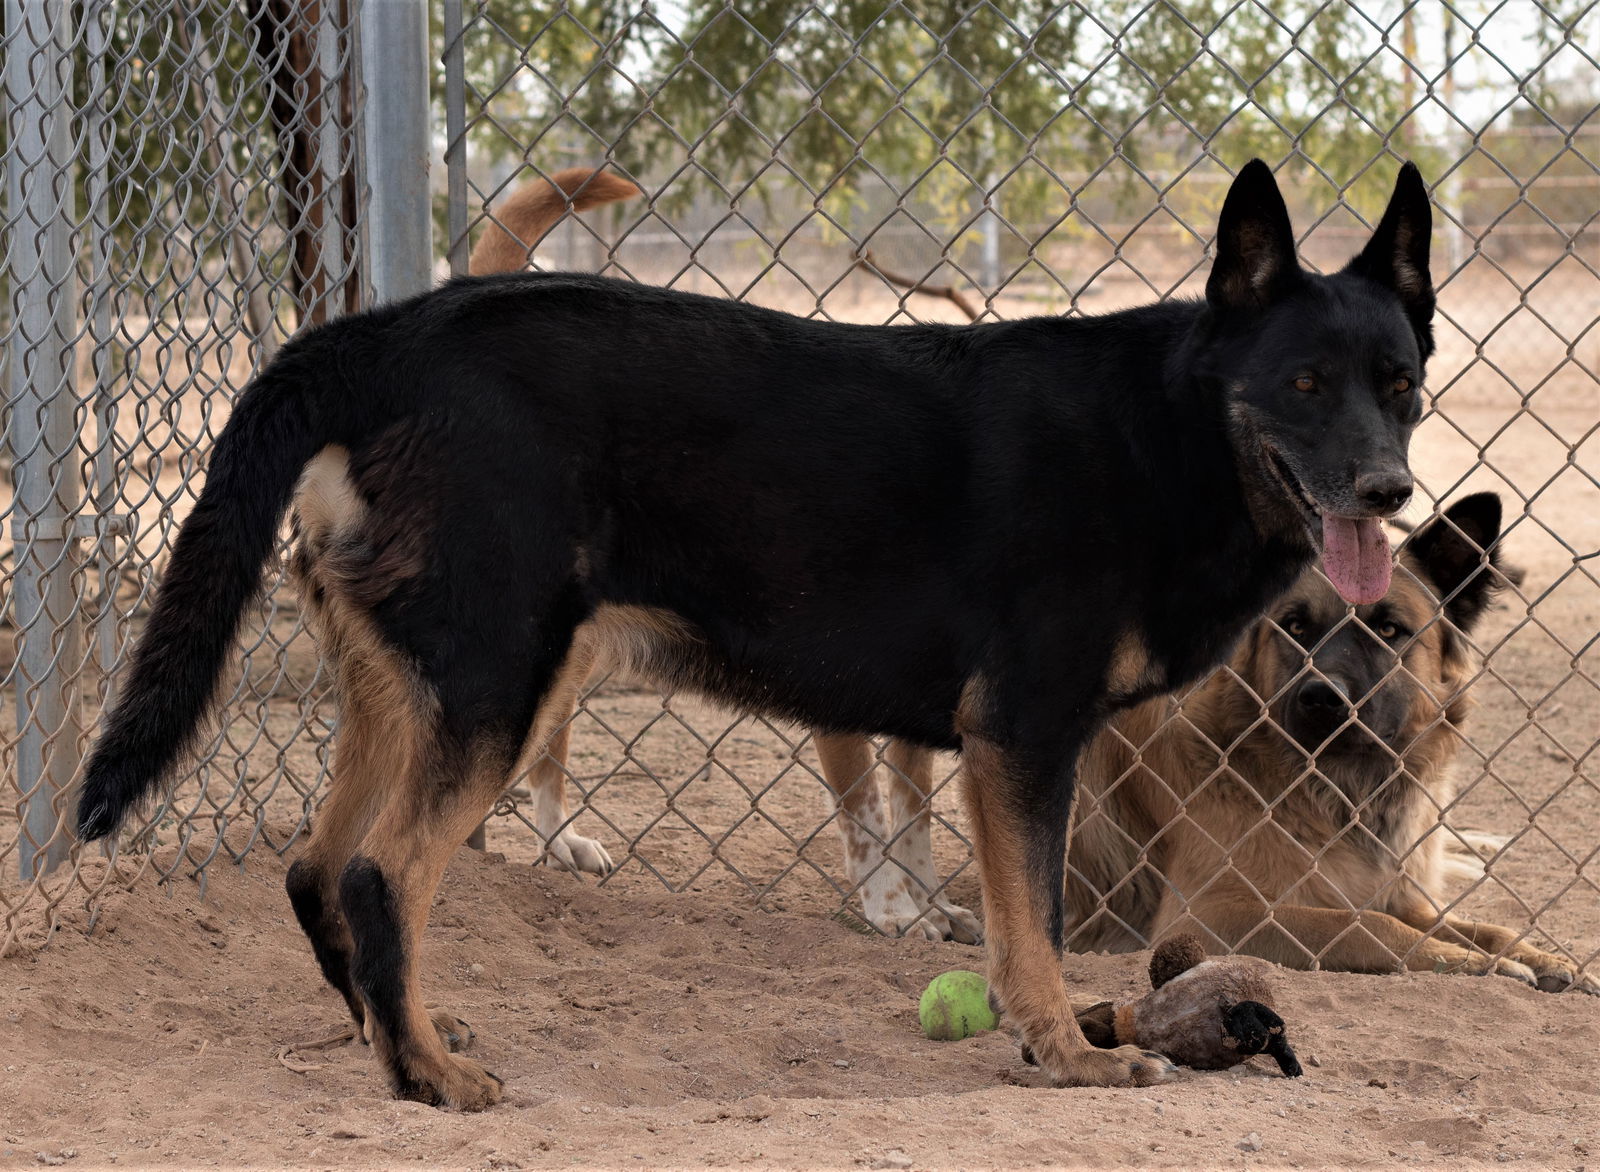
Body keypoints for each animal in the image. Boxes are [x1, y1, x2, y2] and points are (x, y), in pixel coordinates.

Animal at [75, 160, 1433, 1101]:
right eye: (1303, 383)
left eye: (1401, 384)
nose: (1388, 492)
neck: (1170, 427)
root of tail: (388, 335)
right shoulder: (1024, 740)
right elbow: (1034, 927)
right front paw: (1068, 1052)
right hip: (501, 691)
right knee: (376, 873)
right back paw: (428, 1079)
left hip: (412, 691)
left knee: (318, 870)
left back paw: (394, 1036)